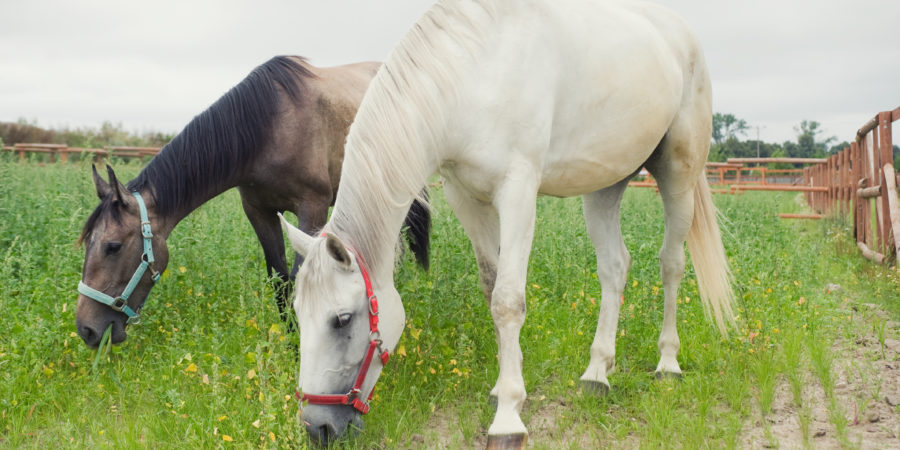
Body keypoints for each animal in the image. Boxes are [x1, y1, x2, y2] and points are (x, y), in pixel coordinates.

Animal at [74, 56, 432, 348]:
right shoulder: (259, 212)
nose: (86, 330)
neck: (270, 127)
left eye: (113, 246)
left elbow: (301, 277)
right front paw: (291, 344)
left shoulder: (312, 208)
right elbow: (280, 281)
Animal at [280, 0, 732, 446]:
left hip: (678, 174)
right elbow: (491, 286)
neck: (473, 72)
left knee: (671, 264)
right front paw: (502, 391)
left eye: (342, 319)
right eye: (298, 314)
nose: (316, 427)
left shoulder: (518, 193)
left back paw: (667, 363)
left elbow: (508, 301)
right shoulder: (466, 198)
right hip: (605, 186)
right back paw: (597, 372)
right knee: (614, 267)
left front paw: (508, 417)